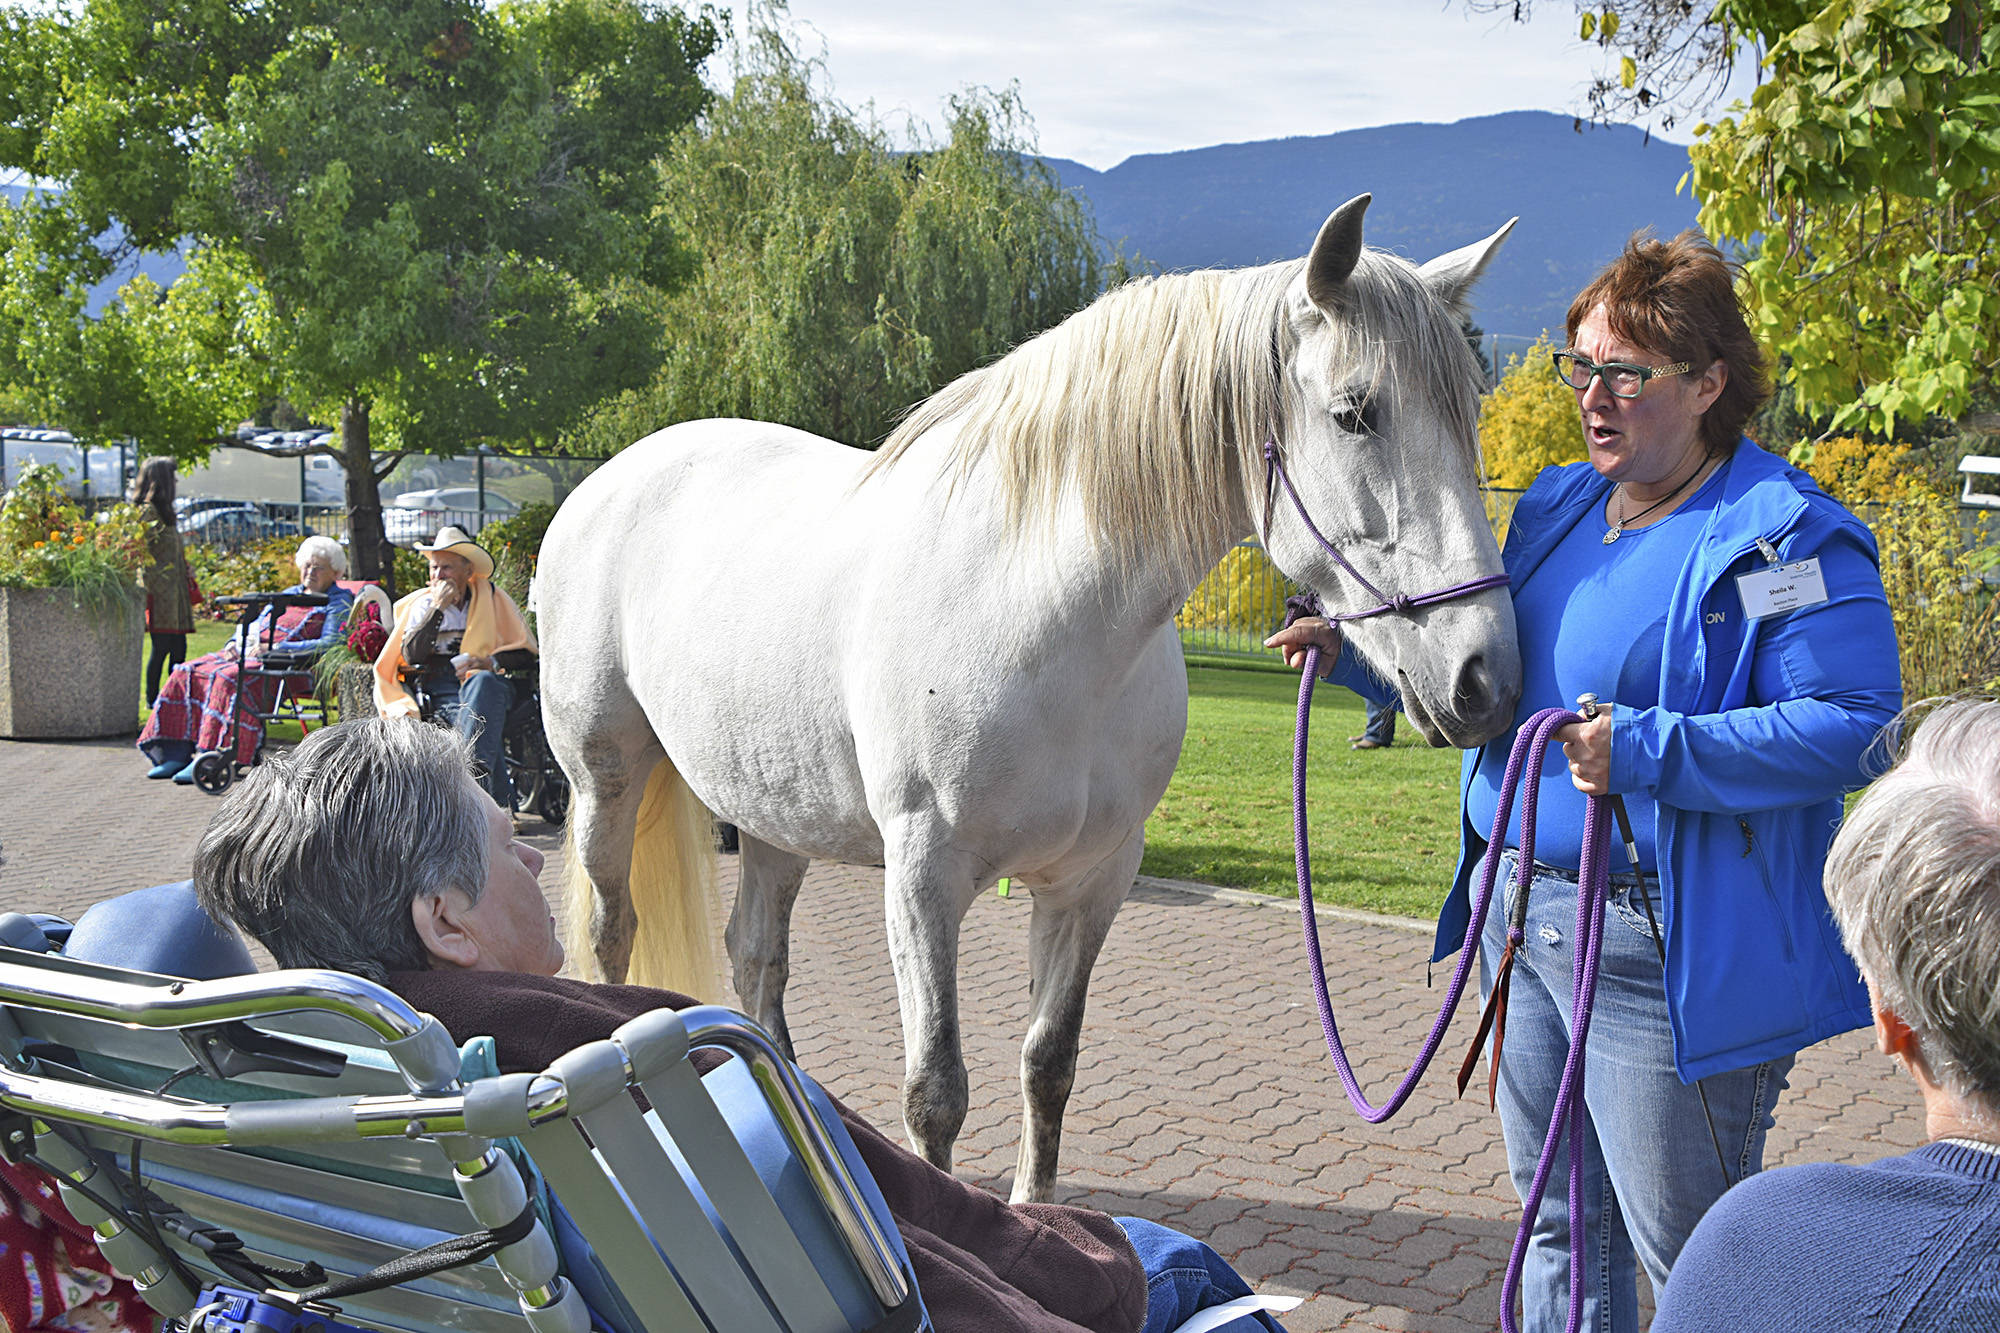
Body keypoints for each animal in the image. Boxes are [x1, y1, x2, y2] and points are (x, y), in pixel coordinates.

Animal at [540, 197, 1520, 1200]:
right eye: (1356, 412)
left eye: (1471, 410)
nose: (1485, 676)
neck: (1038, 615)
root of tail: (606, 479)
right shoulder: (923, 877)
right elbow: (936, 1091)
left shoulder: (1093, 882)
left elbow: (1050, 1064)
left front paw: (1035, 1209)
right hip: (604, 781)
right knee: (615, 933)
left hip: (774, 812)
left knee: (756, 959)